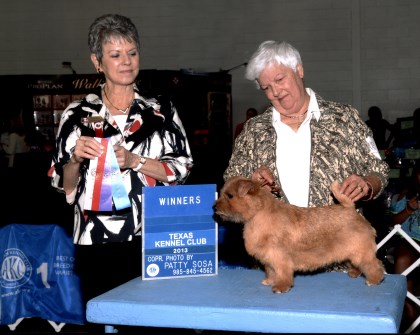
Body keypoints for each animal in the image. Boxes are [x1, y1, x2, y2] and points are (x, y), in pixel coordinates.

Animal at [215, 176, 386, 294]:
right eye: (222, 193)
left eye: (230, 196)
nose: (214, 207)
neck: (258, 214)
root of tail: (350, 208)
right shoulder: (269, 258)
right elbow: (271, 271)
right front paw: (270, 281)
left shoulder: (280, 257)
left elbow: (282, 273)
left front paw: (281, 287)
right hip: (352, 252)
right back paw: (355, 273)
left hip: (361, 252)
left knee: (375, 265)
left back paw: (374, 280)